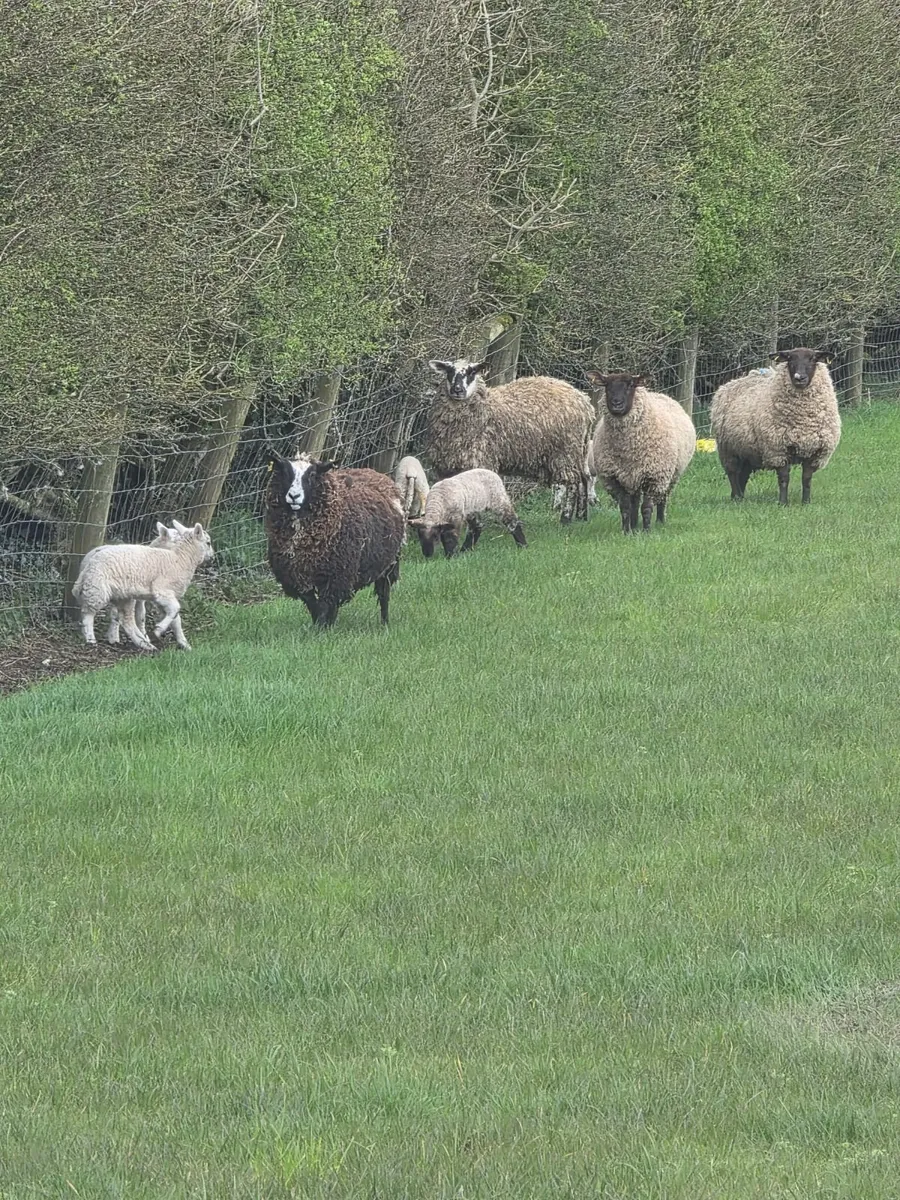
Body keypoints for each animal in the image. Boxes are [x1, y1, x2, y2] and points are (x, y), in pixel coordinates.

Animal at [72, 522, 214, 651]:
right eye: (208, 543)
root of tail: (88, 566)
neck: (179, 559)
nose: (212, 557)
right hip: (97, 588)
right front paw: (158, 630)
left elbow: (175, 617)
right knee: (88, 614)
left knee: (126, 620)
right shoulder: (162, 590)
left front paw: (184, 644)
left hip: (122, 595)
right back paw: (91, 640)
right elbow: (175, 609)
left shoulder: (164, 597)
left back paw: (144, 644)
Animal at [265, 452, 406, 628]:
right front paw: (320, 626)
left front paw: (322, 628)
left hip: (389, 563)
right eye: (284, 472)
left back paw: (384, 624)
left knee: (383, 593)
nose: (294, 496)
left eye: (312, 474)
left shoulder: (336, 575)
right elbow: (314, 604)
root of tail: (373, 472)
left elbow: (325, 605)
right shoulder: (296, 576)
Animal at [426, 359, 595, 529]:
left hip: (566, 451)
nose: (457, 390)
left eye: (472, 372)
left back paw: (566, 519)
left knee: (573, 483)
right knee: (583, 480)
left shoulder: (478, 461)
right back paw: (581, 516)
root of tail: (585, 402)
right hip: (579, 451)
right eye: (449, 371)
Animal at [586, 371, 696, 534]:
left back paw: (660, 521)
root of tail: (661, 394)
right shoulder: (615, 478)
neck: (627, 449)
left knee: (663, 498)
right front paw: (627, 532)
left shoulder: (654, 477)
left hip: (671, 475)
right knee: (635, 502)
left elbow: (647, 507)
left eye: (631, 385)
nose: (616, 403)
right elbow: (625, 507)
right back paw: (634, 524)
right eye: (607, 385)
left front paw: (646, 531)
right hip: (634, 477)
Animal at [710, 347, 841, 505]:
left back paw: (740, 497)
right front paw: (783, 503)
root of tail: (729, 383)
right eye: (789, 358)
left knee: (743, 474)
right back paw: (736, 498)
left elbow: (807, 479)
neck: (802, 422)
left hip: (747, 450)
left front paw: (806, 502)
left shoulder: (814, 451)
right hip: (728, 449)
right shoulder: (778, 449)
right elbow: (784, 479)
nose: (799, 378)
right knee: (732, 473)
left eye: (813, 358)